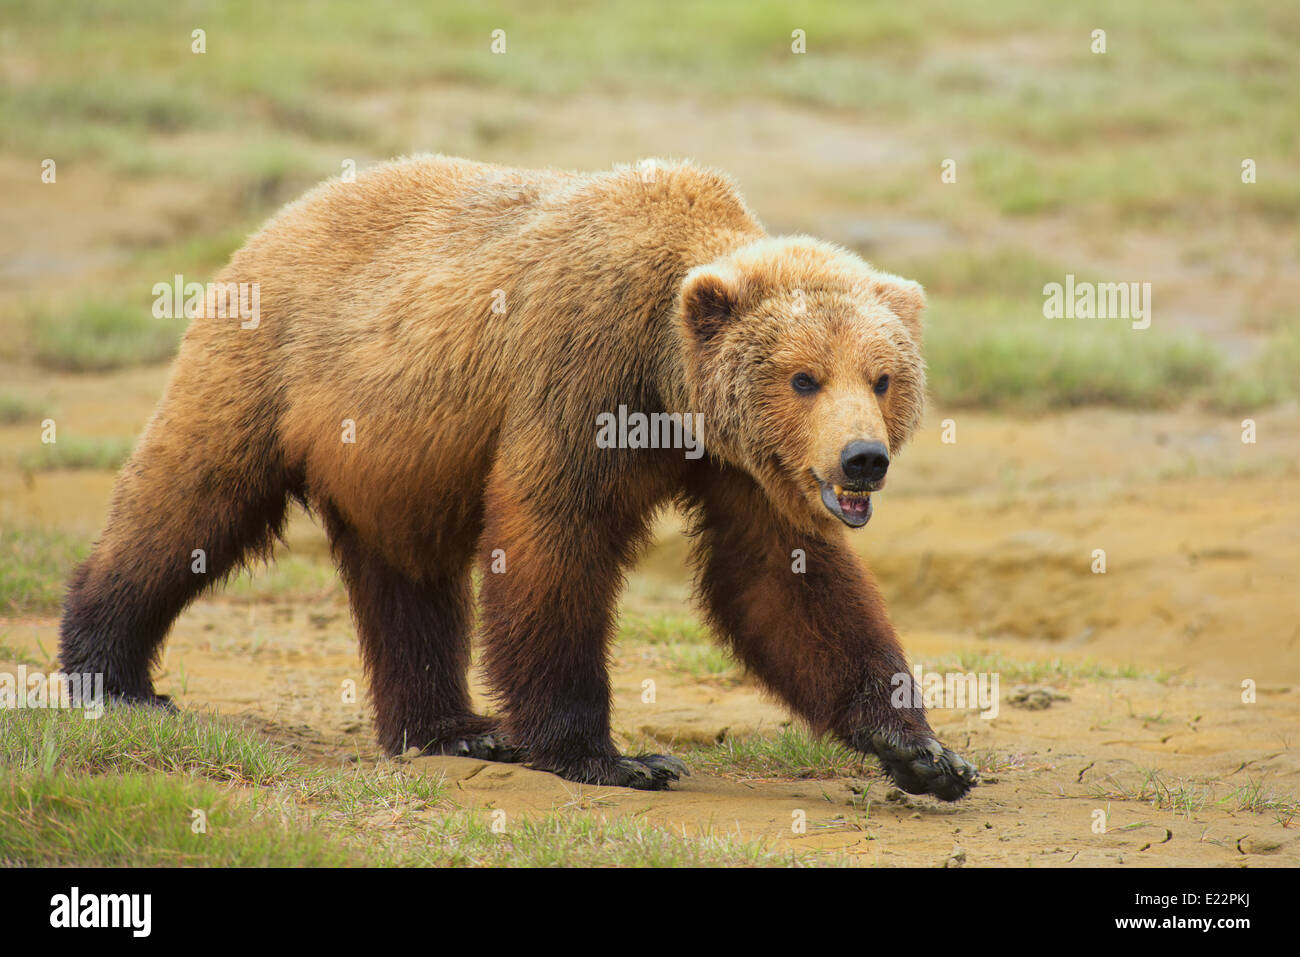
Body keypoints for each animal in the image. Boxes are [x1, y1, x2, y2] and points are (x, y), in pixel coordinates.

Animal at [61, 155, 977, 800]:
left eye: (883, 377)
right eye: (803, 377)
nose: (862, 459)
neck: (669, 386)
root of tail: (281, 214)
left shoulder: (741, 463)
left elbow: (784, 582)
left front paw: (926, 752)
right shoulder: (579, 376)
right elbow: (553, 545)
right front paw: (613, 755)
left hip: (394, 451)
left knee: (406, 576)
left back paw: (450, 726)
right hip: (269, 367)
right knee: (188, 500)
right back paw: (111, 672)